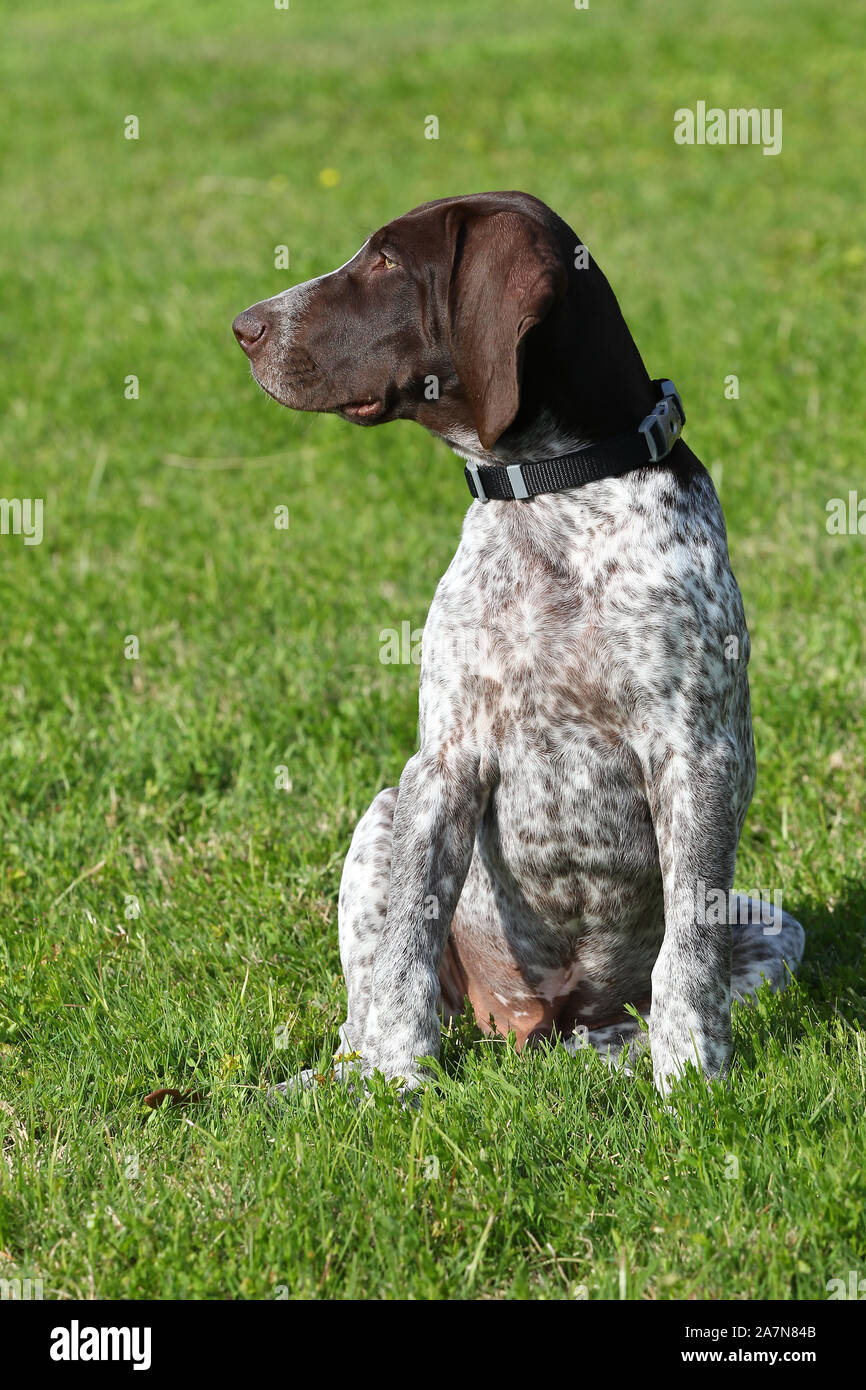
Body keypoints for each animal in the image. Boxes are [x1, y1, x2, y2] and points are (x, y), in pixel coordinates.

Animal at [232, 187, 806, 1095]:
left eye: (387, 260)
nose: (244, 326)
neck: (550, 497)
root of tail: (530, 1023)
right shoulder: (444, 763)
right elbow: (404, 949)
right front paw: (394, 1084)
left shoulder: (697, 759)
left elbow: (689, 956)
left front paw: (690, 1081)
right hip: (382, 815)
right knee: (367, 1001)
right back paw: (329, 1079)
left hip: (775, 927)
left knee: (649, 996)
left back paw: (615, 1053)